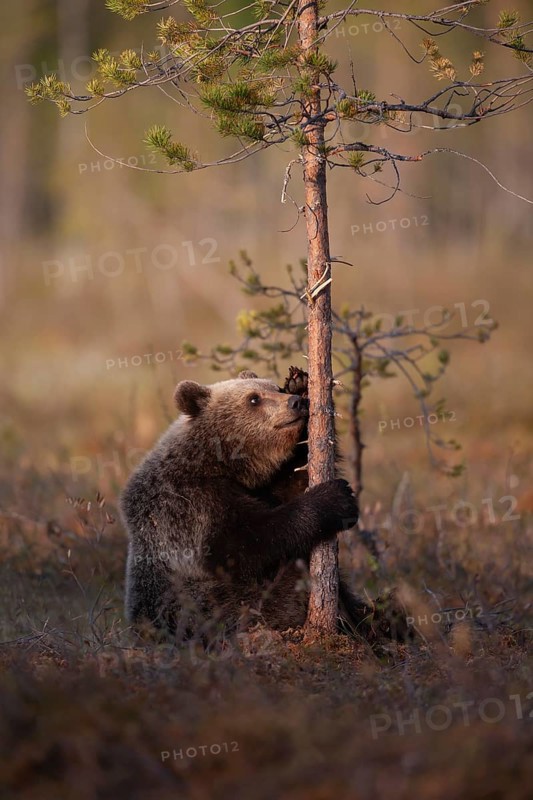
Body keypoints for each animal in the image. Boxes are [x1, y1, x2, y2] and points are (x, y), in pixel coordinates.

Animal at [121, 368, 381, 642]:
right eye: (254, 399)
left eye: (276, 388)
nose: (295, 403)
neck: (220, 463)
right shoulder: (189, 506)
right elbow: (246, 543)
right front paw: (335, 497)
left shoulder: (260, 487)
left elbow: (293, 482)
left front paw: (300, 384)